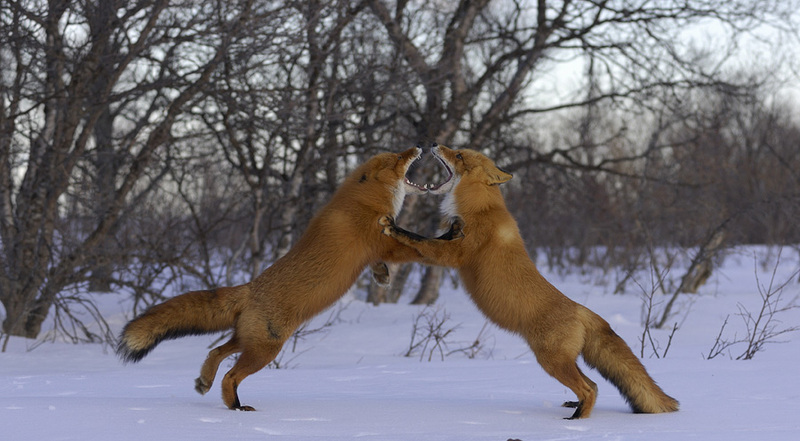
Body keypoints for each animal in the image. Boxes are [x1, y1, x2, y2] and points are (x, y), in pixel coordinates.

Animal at [115, 147, 460, 410]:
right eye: (400, 157)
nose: (419, 145)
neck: (363, 201)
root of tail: (250, 288)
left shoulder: (374, 249)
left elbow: (387, 260)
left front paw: (381, 276)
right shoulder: (381, 240)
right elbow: (419, 244)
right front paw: (451, 235)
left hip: (249, 340)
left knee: (215, 352)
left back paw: (205, 382)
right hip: (266, 350)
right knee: (230, 375)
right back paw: (235, 407)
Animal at [378, 145, 680, 420]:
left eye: (459, 155)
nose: (434, 144)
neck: (480, 207)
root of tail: (581, 309)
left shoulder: (456, 255)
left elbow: (420, 240)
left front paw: (395, 228)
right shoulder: (450, 242)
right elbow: (429, 241)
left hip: (550, 361)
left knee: (589, 388)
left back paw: (577, 422)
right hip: (561, 361)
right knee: (593, 385)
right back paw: (576, 409)